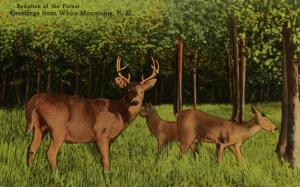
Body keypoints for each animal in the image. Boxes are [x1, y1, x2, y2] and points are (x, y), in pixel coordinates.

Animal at [24, 56, 159, 173]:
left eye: (142, 91)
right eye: (128, 90)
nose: (135, 101)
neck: (119, 114)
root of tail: (35, 99)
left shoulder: (109, 139)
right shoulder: (101, 134)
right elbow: (105, 160)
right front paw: (106, 178)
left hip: (39, 126)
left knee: (31, 148)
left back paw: (29, 171)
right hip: (58, 128)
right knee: (50, 152)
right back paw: (56, 175)